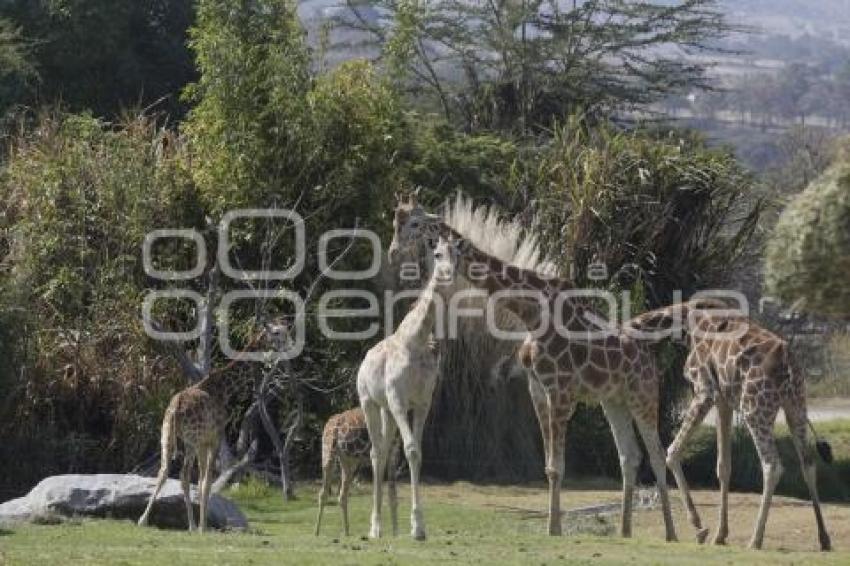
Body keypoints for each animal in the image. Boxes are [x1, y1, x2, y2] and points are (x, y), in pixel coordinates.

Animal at [314, 408, 400, 536]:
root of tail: (335, 424)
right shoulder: (389, 451)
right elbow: (385, 492)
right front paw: (390, 532)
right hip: (338, 454)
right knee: (331, 493)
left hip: (341, 457)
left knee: (336, 494)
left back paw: (340, 532)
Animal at [354, 234, 454, 540]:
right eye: (437, 253)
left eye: (456, 253)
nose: (449, 274)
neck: (417, 340)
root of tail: (363, 362)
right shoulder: (399, 400)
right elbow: (410, 449)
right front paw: (417, 527)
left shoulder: (422, 403)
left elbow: (417, 452)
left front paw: (417, 526)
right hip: (369, 403)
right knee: (376, 452)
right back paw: (374, 527)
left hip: (387, 410)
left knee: (385, 450)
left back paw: (383, 526)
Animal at [390, 194, 676, 540]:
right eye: (395, 222)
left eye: (415, 223)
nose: (392, 251)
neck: (531, 312)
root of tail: (648, 356)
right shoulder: (537, 389)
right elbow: (550, 467)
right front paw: (552, 527)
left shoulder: (561, 391)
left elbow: (559, 466)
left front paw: (555, 528)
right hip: (614, 401)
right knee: (629, 457)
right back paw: (625, 531)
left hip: (643, 396)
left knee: (658, 456)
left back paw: (671, 533)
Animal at [620, 300, 832, 552]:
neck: (686, 325)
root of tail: (789, 363)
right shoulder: (723, 400)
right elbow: (723, 466)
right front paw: (720, 535)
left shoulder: (705, 390)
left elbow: (672, 451)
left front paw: (699, 526)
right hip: (796, 407)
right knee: (807, 463)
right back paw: (824, 539)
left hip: (755, 409)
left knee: (772, 465)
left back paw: (755, 540)